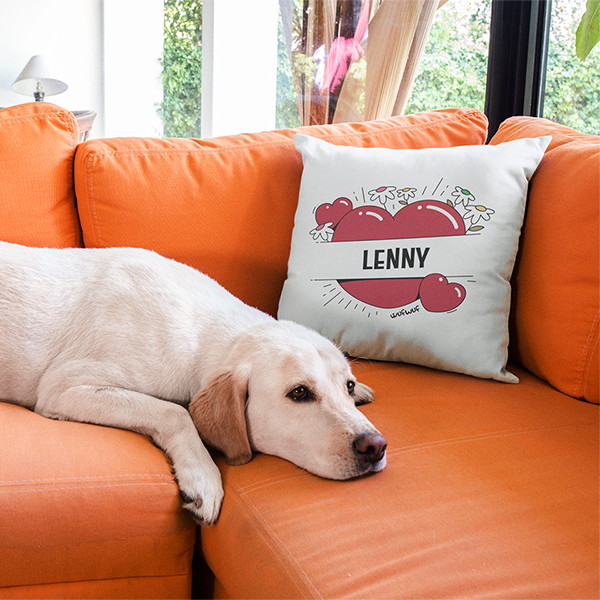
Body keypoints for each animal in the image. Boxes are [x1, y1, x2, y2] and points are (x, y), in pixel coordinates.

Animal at [0, 241, 387, 525]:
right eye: (300, 393)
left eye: (348, 386)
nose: (376, 447)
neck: (205, 330)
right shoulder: (64, 388)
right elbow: (175, 412)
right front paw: (202, 475)